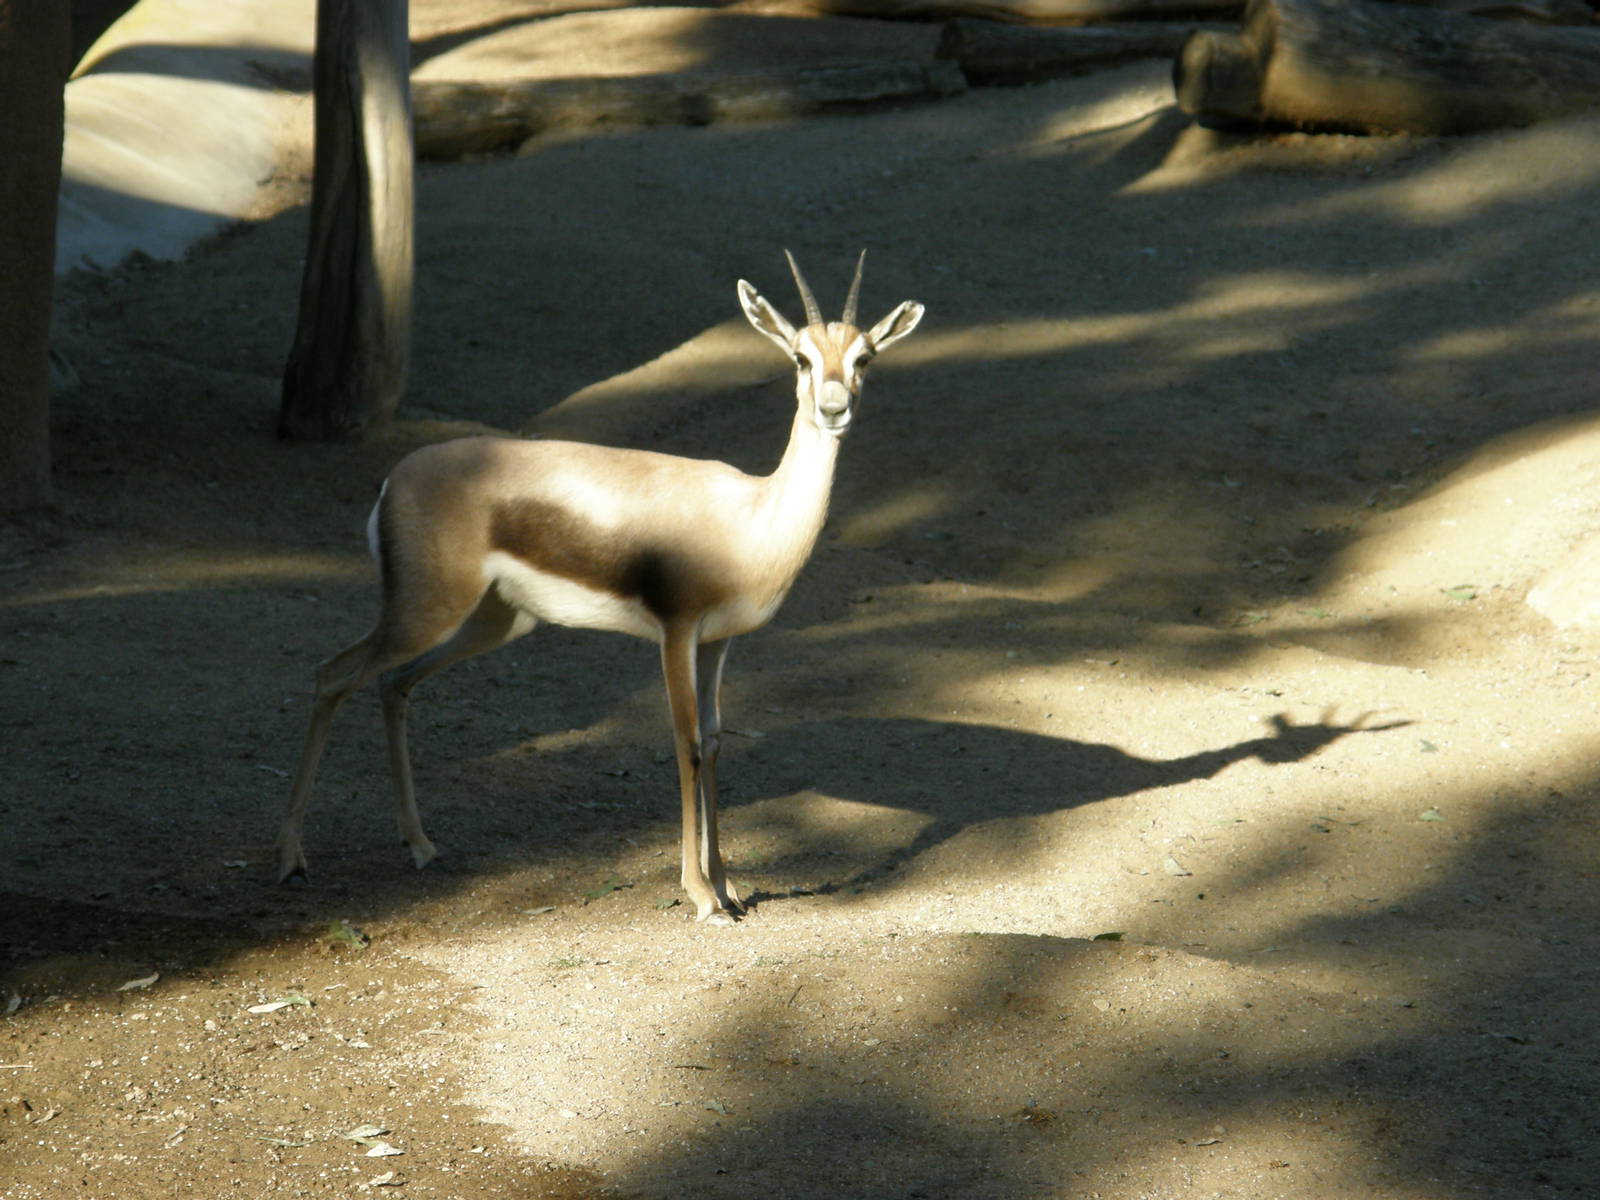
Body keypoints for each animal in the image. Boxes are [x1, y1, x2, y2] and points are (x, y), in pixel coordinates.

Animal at [275, 252, 924, 923]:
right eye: (800, 356)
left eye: (864, 357)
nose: (834, 408)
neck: (750, 518)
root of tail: (394, 479)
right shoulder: (676, 632)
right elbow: (687, 741)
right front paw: (701, 897)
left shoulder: (719, 642)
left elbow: (717, 741)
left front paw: (729, 886)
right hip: (426, 611)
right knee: (332, 675)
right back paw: (292, 859)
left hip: (496, 621)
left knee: (393, 684)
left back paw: (421, 844)